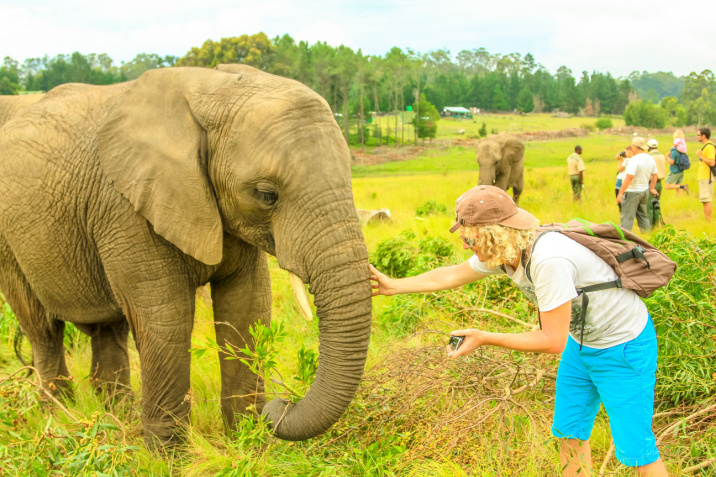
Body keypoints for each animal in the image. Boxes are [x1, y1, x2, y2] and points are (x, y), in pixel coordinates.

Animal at [0, 63, 372, 446]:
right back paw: (61, 418)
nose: (280, 405)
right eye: (267, 194)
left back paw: (117, 420)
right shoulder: (128, 208)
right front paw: (171, 455)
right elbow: (167, 319)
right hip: (9, 242)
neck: (213, 88)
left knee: (108, 329)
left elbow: (247, 306)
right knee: (43, 328)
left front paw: (248, 443)